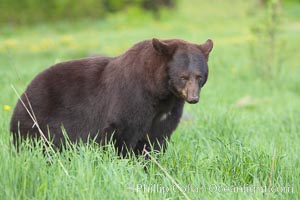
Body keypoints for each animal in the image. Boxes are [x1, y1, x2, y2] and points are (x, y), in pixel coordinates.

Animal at [10, 38, 213, 155]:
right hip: (39, 119)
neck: (158, 92)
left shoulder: (168, 110)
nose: (193, 98)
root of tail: (24, 93)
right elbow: (121, 135)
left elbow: (156, 138)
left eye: (199, 76)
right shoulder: (131, 99)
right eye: (183, 77)